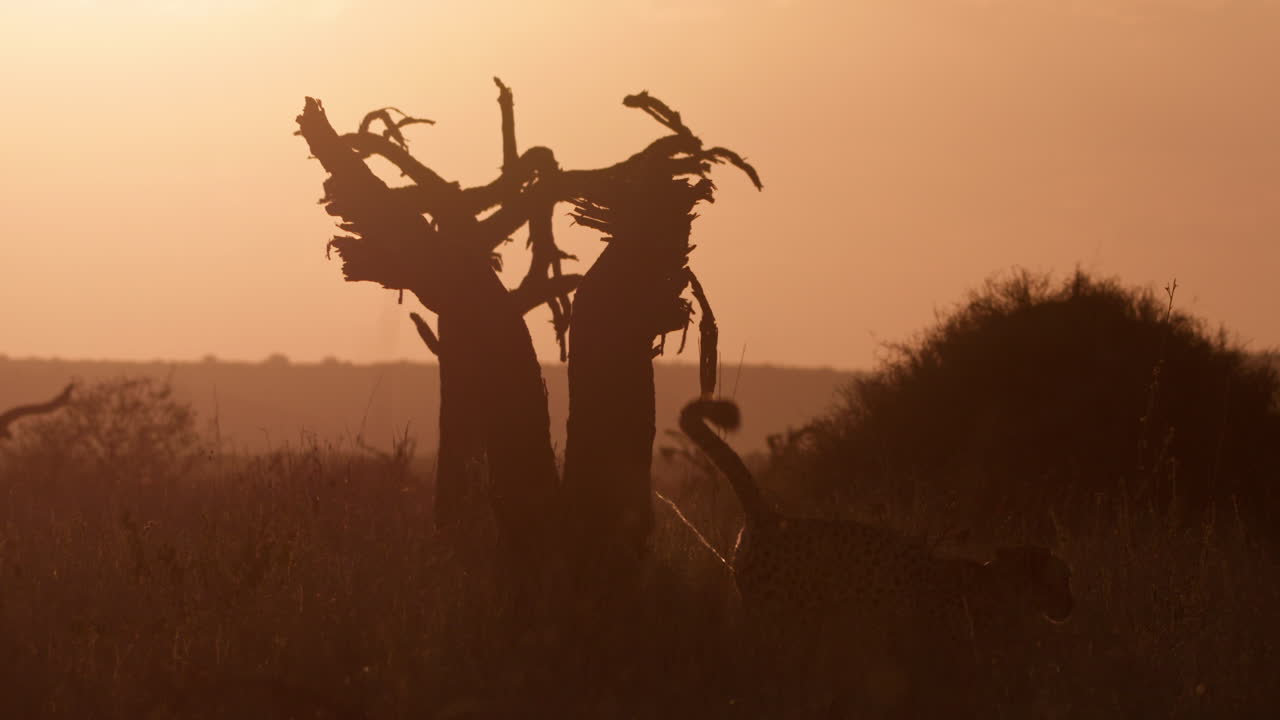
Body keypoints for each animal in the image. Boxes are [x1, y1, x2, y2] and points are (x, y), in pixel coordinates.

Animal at [678, 397, 1074, 716]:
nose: (1071, 605)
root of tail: (771, 516)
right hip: (785, 624)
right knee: (767, 673)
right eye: (1063, 577)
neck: (999, 588)